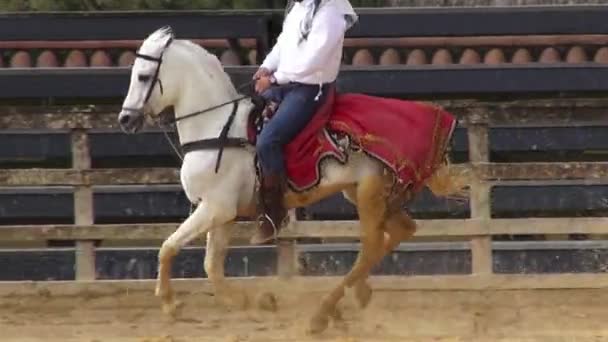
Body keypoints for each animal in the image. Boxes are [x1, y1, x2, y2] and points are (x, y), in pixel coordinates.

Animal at [117, 26, 466, 334]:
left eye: (144, 76)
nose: (125, 119)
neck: (217, 129)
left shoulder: (215, 209)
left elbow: (168, 247)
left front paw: (170, 303)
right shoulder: (223, 215)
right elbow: (211, 266)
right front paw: (256, 302)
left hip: (370, 192)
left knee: (370, 245)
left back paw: (324, 313)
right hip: (364, 193)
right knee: (401, 231)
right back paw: (357, 294)